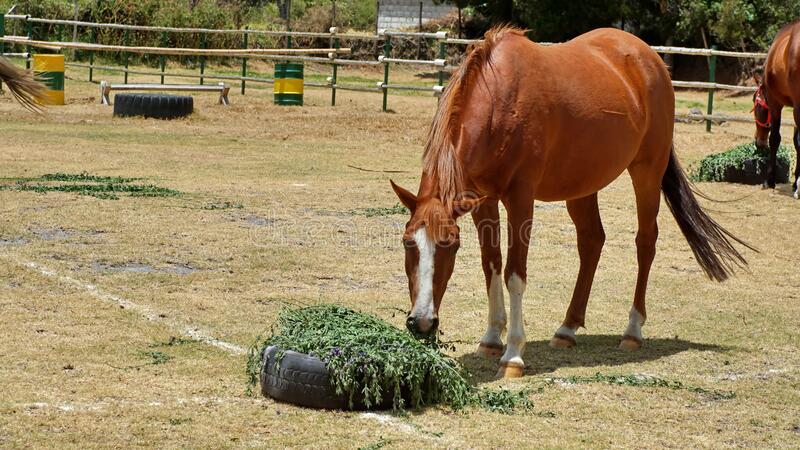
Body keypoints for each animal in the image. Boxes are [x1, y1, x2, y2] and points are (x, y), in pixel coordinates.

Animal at [390, 26, 752, 378]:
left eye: (450, 245)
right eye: (407, 242)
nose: (422, 322)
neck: (500, 101)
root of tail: (648, 57)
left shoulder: (520, 198)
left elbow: (514, 273)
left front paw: (513, 355)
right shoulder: (483, 200)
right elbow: (490, 263)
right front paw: (491, 338)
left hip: (647, 172)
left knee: (645, 241)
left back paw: (632, 331)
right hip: (582, 186)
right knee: (592, 240)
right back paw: (567, 329)